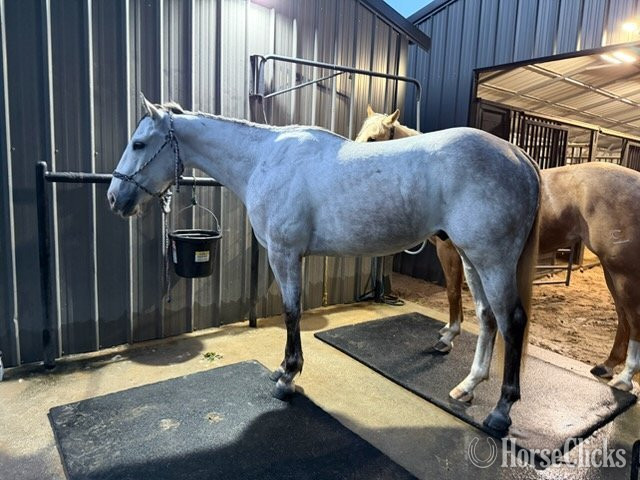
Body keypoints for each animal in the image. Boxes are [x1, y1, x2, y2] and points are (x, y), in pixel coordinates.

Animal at [107, 94, 541, 433]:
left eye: (139, 143)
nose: (115, 198)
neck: (264, 159)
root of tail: (519, 155)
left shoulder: (284, 254)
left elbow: (291, 312)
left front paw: (287, 376)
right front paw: (285, 372)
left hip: (492, 259)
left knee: (512, 322)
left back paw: (500, 412)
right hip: (471, 258)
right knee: (487, 318)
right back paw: (467, 387)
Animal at [357, 106, 640, 393]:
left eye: (373, 139)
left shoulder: (449, 251)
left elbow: (452, 292)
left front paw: (447, 339)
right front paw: (448, 331)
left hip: (622, 270)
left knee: (633, 317)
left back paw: (625, 378)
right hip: (611, 270)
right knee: (623, 316)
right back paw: (607, 366)